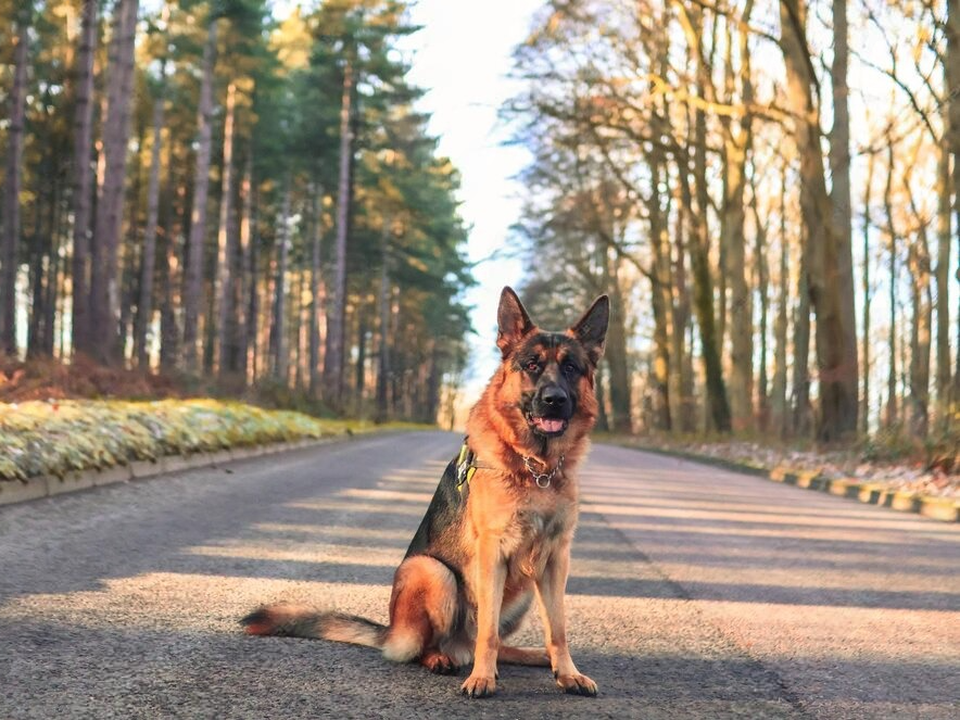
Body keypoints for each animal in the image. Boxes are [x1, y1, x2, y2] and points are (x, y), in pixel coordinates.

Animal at [240, 286, 608, 696]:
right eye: (531, 365)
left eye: (571, 368)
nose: (554, 400)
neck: (535, 468)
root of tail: (391, 632)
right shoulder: (491, 554)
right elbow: (489, 631)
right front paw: (482, 678)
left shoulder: (556, 560)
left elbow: (557, 629)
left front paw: (567, 672)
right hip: (431, 571)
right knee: (437, 644)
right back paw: (446, 660)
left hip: (526, 586)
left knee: (497, 640)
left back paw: (528, 657)